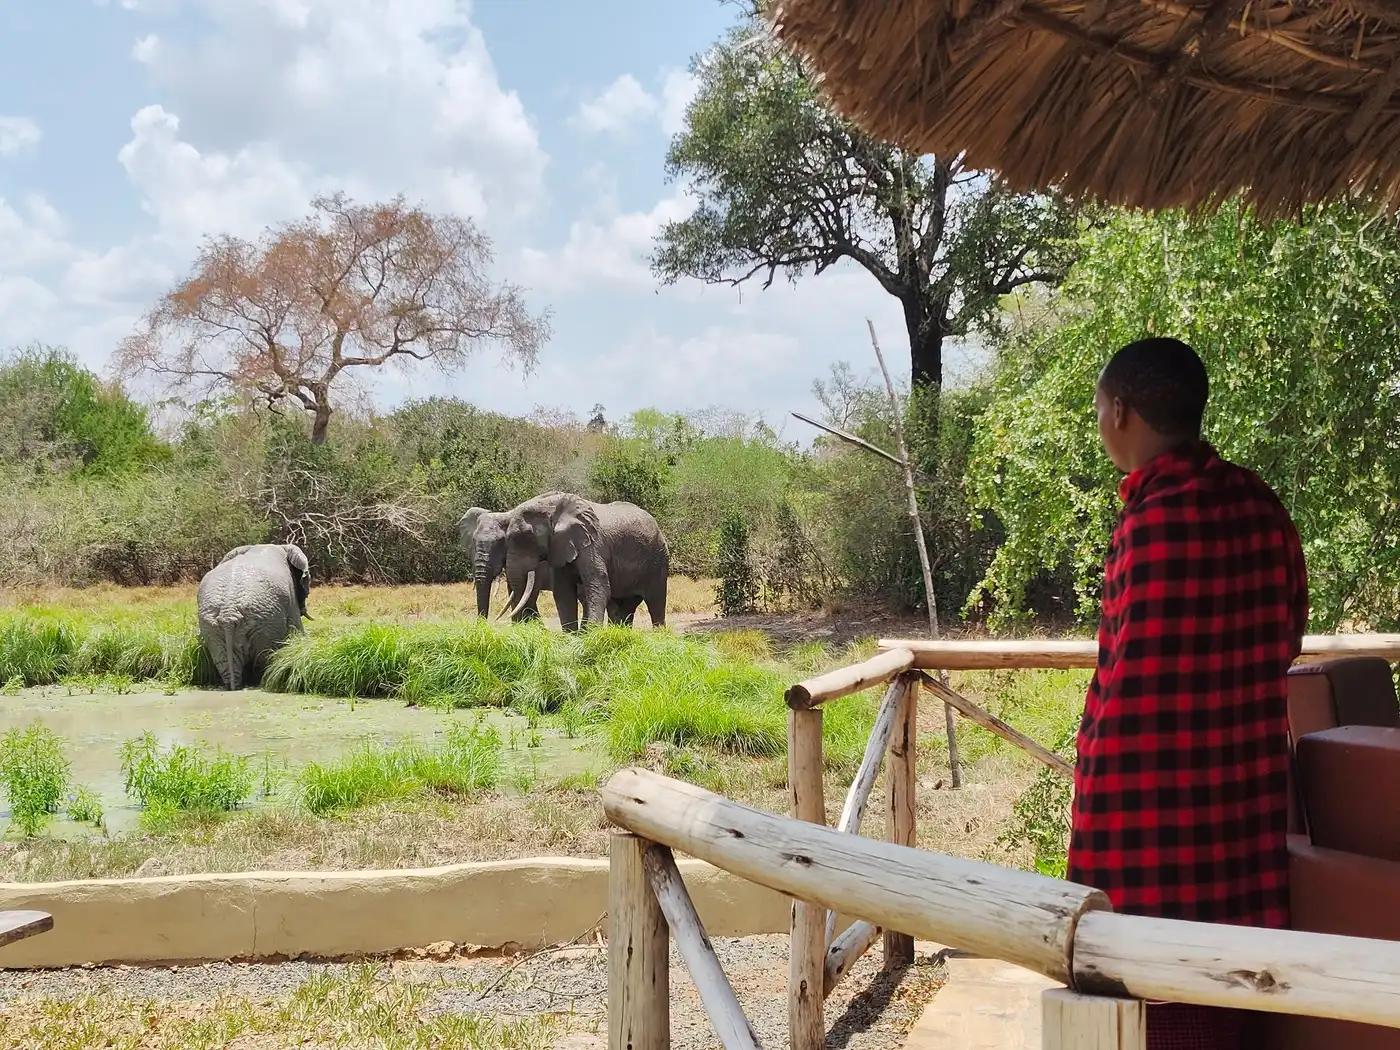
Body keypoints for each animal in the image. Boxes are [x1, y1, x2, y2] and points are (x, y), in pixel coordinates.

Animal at [197, 543, 311, 690]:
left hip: (211, 626)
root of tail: (229, 612)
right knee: (263, 656)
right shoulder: (291, 599)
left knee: (223, 659)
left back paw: (234, 685)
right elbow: (297, 629)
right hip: (266, 621)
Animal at [501, 492, 668, 631]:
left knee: (655, 601)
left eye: (527, 539)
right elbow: (563, 592)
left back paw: (659, 635)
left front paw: (591, 636)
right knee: (621, 607)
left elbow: (599, 588)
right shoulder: (560, 547)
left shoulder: (593, 546)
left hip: (657, 559)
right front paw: (572, 638)